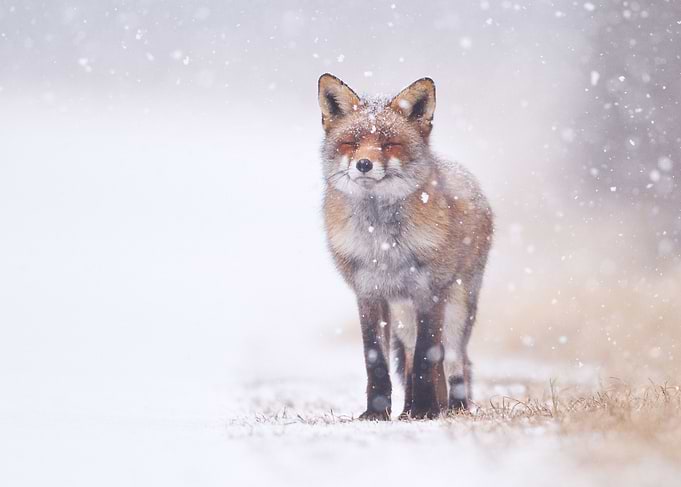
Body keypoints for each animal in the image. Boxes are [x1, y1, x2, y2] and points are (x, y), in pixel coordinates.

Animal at [318, 73, 493, 420]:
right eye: (351, 143)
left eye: (389, 144)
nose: (363, 164)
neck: (383, 244)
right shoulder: (369, 293)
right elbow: (377, 360)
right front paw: (376, 413)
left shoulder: (429, 292)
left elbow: (428, 356)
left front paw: (427, 411)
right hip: (402, 314)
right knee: (411, 356)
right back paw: (409, 409)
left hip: (457, 306)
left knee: (455, 360)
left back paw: (451, 408)